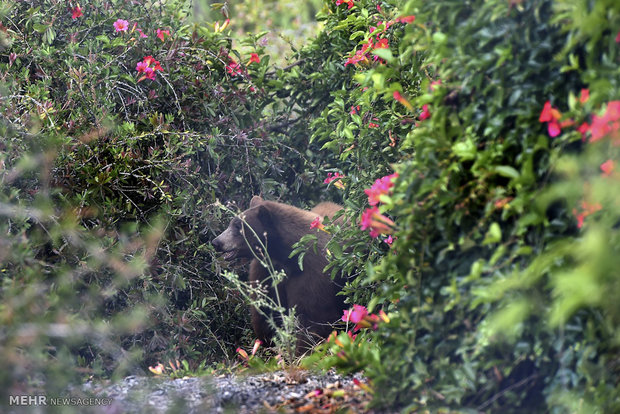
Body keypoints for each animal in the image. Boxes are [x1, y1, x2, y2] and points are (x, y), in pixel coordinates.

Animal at [213, 196, 346, 350]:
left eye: (238, 227)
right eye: (232, 223)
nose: (216, 242)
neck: (286, 257)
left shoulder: (314, 274)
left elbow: (313, 318)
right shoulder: (266, 272)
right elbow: (265, 313)